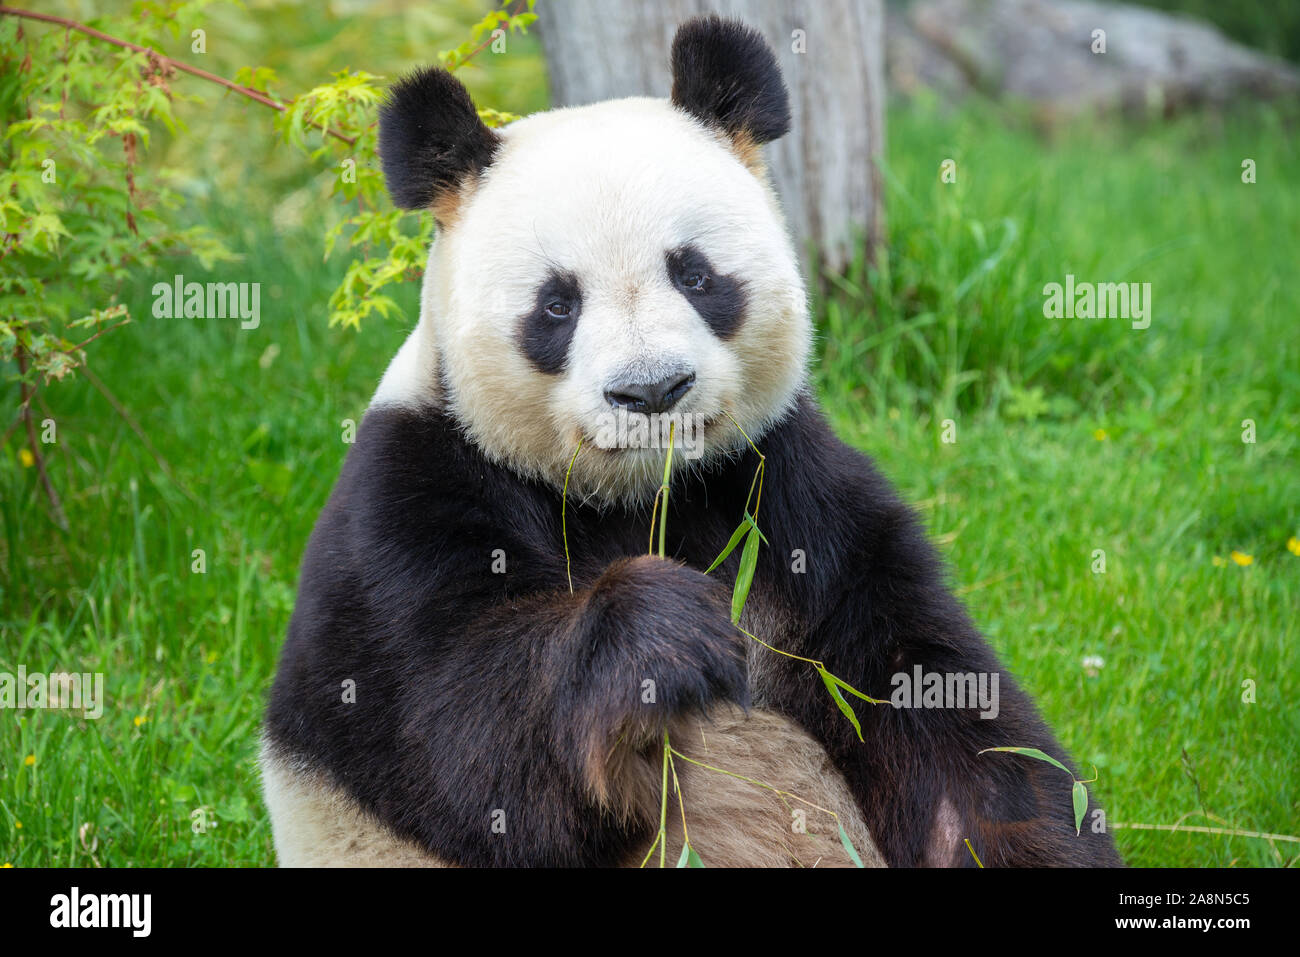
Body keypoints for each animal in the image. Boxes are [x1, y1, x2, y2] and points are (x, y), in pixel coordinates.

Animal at [261, 16, 1122, 868]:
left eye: (696, 274)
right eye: (556, 304)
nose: (650, 392)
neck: (636, 496)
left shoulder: (785, 495)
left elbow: (939, 713)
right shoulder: (410, 499)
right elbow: (463, 732)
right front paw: (662, 634)